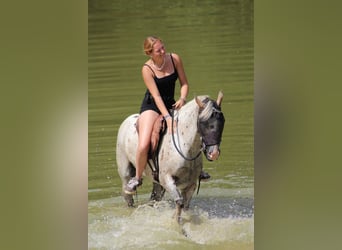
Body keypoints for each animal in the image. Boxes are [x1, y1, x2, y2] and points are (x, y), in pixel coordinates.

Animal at [116, 91, 226, 221]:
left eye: (223, 122)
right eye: (204, 123)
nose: (213, 153)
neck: (185, 145)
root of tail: (128, 120)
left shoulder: (191, 184)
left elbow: (185, 206)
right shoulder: (167, 179)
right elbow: (179, 203)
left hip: (157, 182)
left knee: (154, 198)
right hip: (126, 174)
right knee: (128, 197)